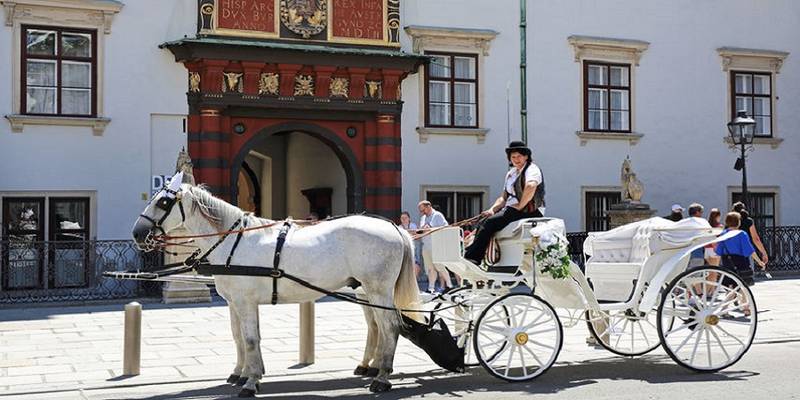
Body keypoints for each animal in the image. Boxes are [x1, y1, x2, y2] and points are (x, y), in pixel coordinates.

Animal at [133, 173, 418, 396]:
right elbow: (238, 337)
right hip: (365, 290)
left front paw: (251, 382)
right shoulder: (235, 302)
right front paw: (241, 372)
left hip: (378, 289)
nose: (137, 233)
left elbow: (250, 339)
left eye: (164, 201)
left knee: (390, 327)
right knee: (376, 327)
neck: (232, 242)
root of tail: (394, 227)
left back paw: (382, 377)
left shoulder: (246, 301)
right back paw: (372, 368)